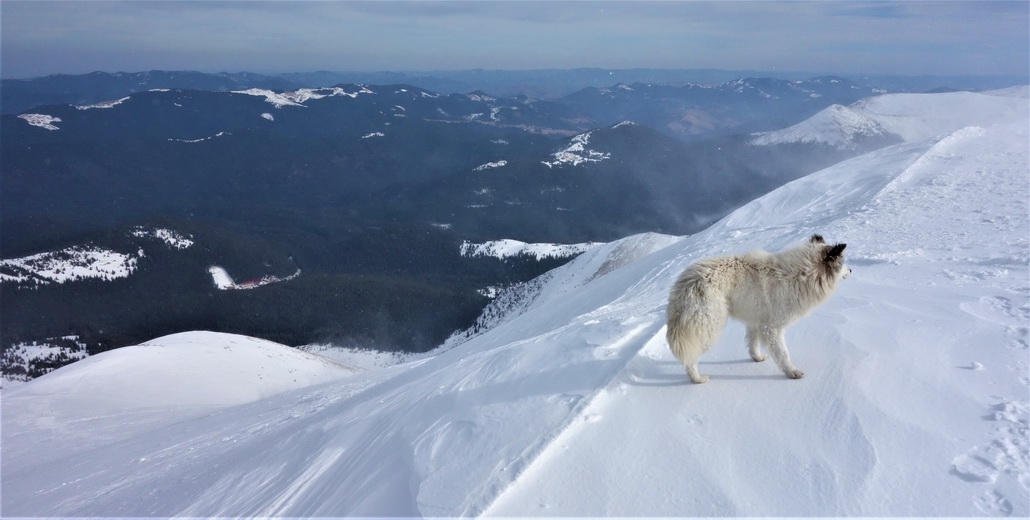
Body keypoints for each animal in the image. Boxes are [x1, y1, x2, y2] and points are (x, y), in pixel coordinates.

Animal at [663, 232, 848, 383]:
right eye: (843, 263)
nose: (851, 270)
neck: (802, 273)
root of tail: (687, 283)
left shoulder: (757, 322)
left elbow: (753, 344)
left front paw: (757, 358)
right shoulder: (772, 327)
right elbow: (782, 353)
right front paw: (792, 372)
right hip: (709, 330)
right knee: (690, 359)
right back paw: (697, 379)